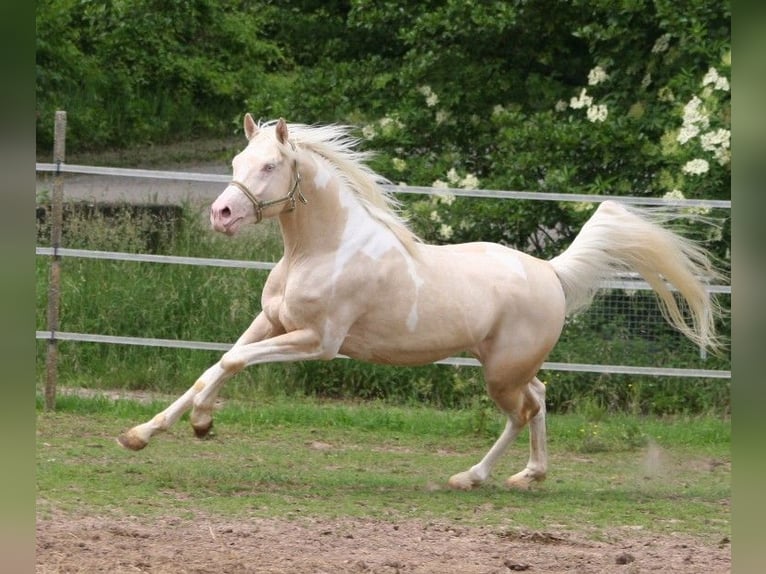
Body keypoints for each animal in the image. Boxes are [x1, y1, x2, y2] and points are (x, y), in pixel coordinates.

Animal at [117, 116, 724, 490]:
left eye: (269, 166)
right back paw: (526, 475)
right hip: (504, 364)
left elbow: (232, 362)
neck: (323, 247)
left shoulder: (318, 341)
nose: (221, 215)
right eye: (237, 161)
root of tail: (550, 272)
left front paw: (201, 423)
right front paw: (144, 434)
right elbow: (215, 365)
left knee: (522, 411)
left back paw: (473, 477)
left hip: (500, 372)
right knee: (541, 397)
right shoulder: (270, 321)